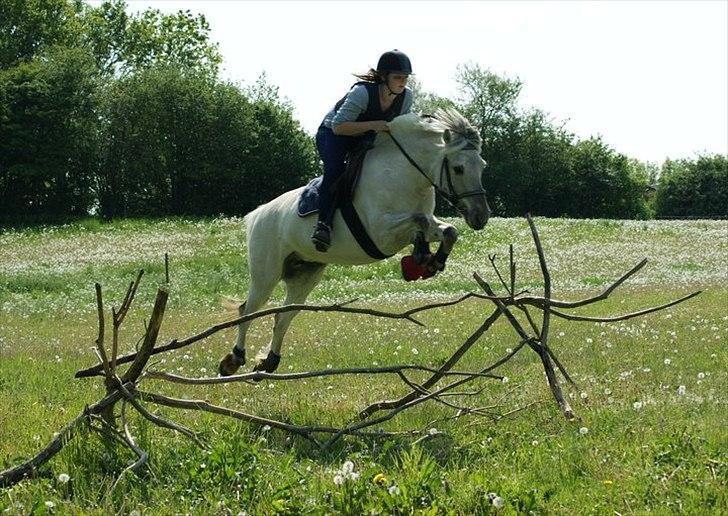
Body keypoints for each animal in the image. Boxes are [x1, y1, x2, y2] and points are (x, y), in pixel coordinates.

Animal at [216, 109, 490, 374]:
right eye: (459, 168)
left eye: (483, 166)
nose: (481, 217)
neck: (406, 175)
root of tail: (257, 213)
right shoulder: (381, 233)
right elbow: (419, 220)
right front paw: (422, 256)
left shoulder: (418, 225)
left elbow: (448, 230)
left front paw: (433, 261)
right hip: (266, 274)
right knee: (247, 311)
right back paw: (234, 359)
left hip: (305, 275)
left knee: (283, 317)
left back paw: (269, 361)